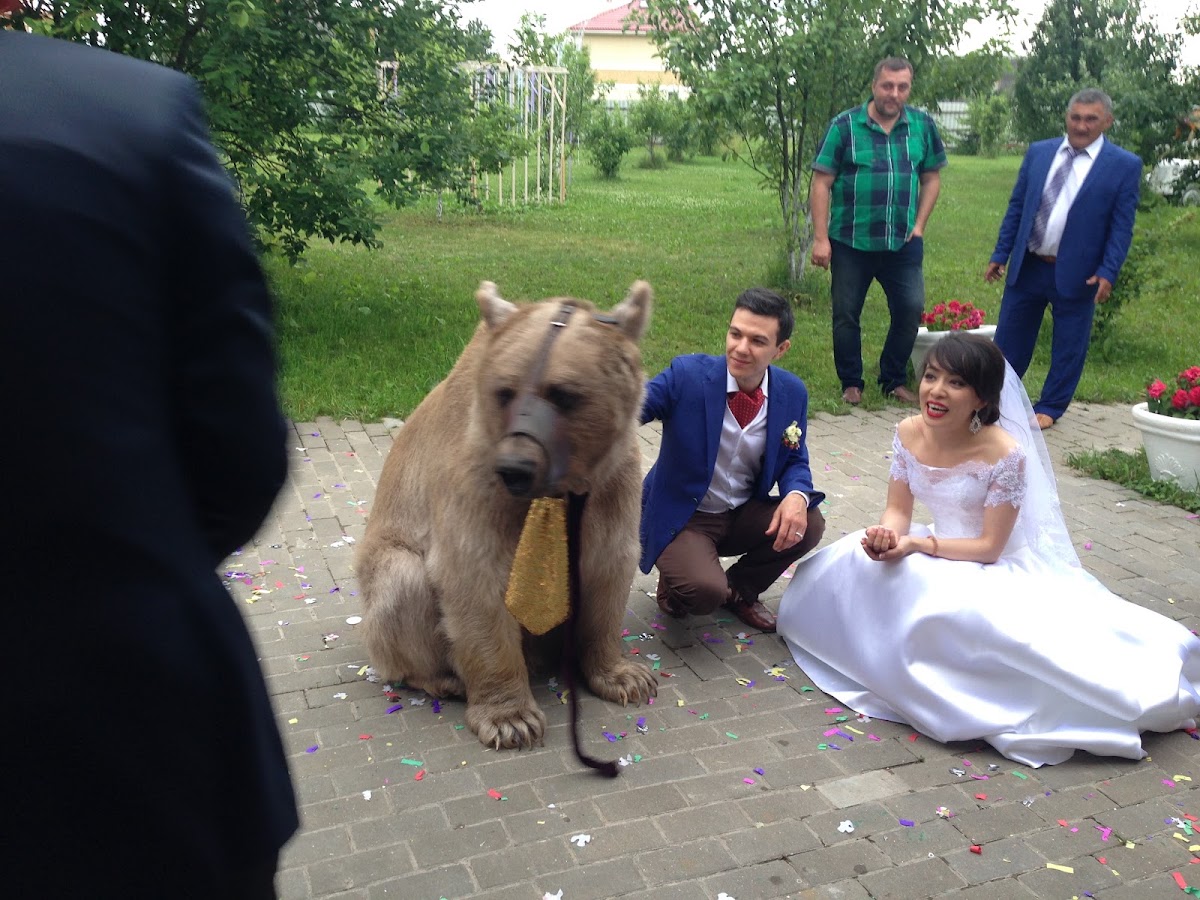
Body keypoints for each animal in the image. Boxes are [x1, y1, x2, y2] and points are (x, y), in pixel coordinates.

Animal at [356, 281, 658, 749]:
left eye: (564, 393)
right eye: (505, 391)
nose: (515, 467)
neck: (558, 488)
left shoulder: (613, 487)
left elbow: (609, 571)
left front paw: (626, 676)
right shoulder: (475, 484)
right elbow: (474, 581)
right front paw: (511, 719)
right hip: (388, 567)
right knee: (402, 585)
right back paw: (444, 679)